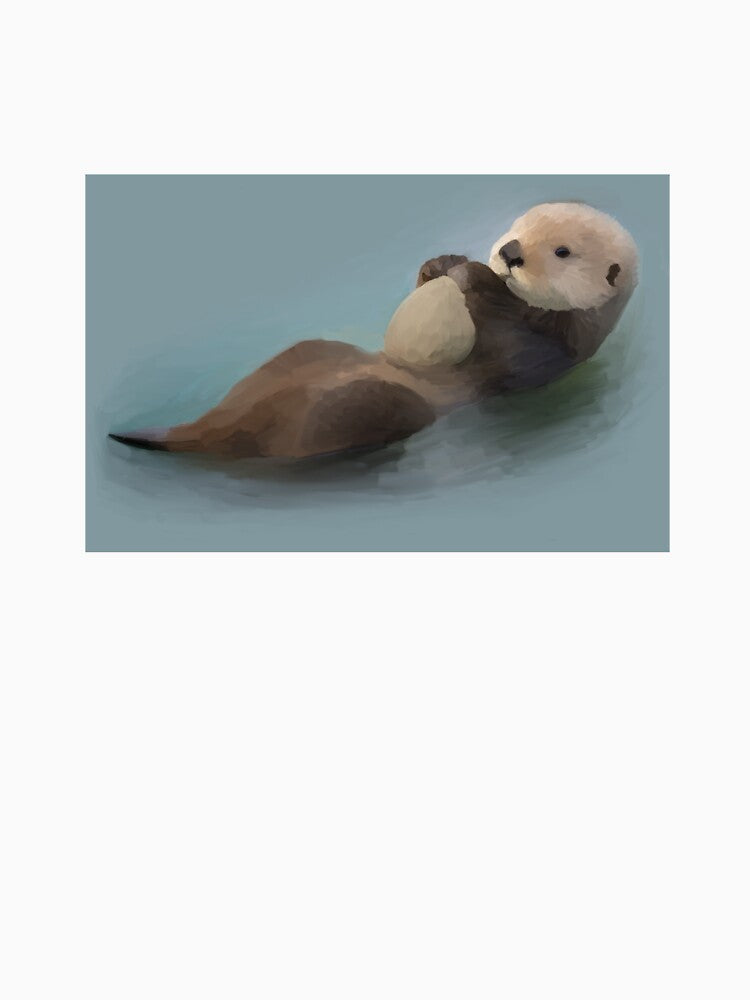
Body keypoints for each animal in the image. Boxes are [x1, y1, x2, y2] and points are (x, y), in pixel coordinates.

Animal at [109, 202, 638, 459]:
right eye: (517, 227)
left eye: (562, 251)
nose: (509, 252)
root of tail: (210, 430)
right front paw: (442, 262)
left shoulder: (552, 348)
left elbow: (506, 340)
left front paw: (472, 275)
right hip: (311, 350)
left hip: (374, 405)